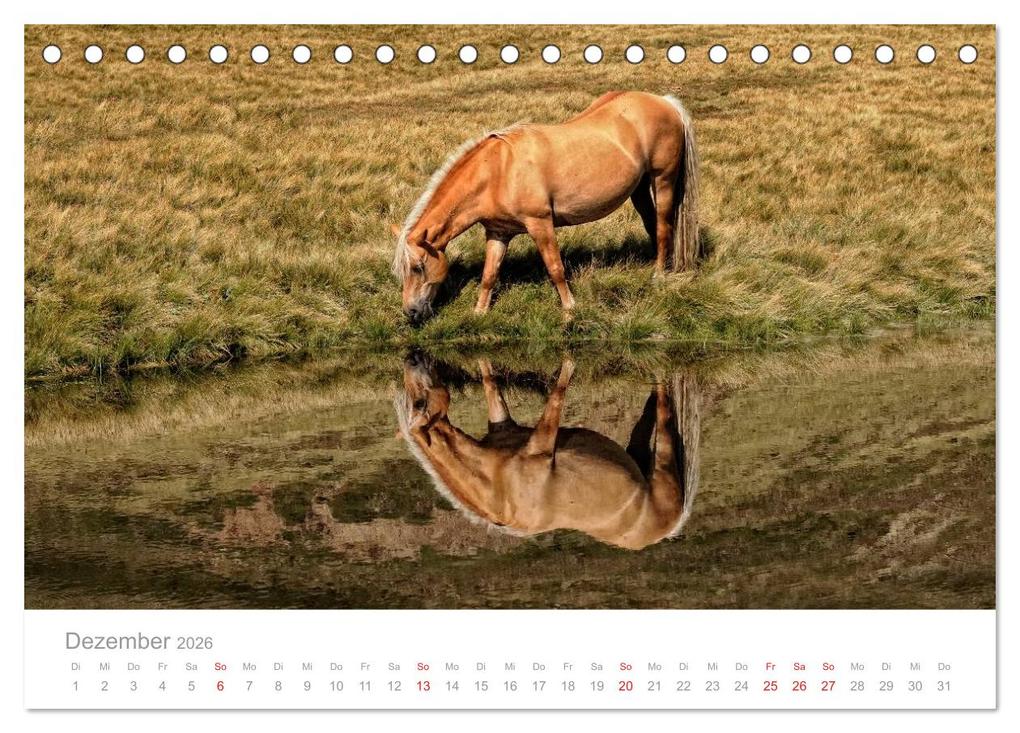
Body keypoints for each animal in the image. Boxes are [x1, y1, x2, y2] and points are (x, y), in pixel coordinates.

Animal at [392, 90, 700, 324]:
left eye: (418, 267)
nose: (411, 312)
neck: (498, 171)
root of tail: (665, 101)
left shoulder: (540, 224)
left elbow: (555, 268)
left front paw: (569, 310)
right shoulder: (498, 233)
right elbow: (489, 275)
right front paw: (479, 313)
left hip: (662, 180)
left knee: (663, 226)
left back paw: (659, 275)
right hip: (639, 188)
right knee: (652, 225)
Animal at [394, 352, 701, 550]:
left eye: (419, 402)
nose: (412, 359)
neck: (498, 489)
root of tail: (669, 528)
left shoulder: (540, 440)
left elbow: (555, 392)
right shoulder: (511, 426)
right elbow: (493, 382)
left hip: (662, 466)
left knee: (663, 413)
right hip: (640, 457)